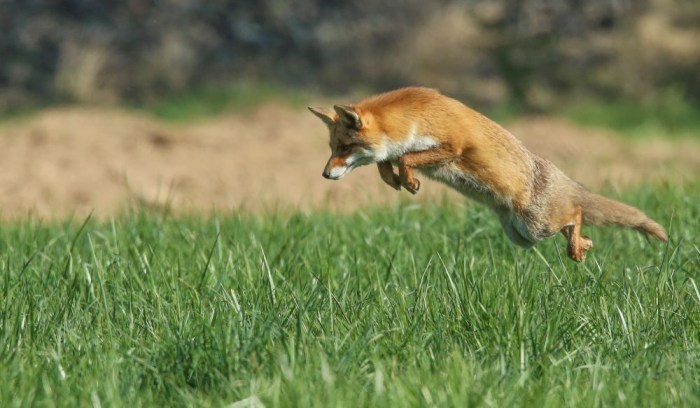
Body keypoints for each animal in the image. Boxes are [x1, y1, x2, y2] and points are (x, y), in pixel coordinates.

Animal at [308, 87, 667, 262]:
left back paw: (577, 246)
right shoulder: (399, 149)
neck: (414, 118)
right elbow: (390, 160)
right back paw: (584, 245)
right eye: (332, 147)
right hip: (522, 237)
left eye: (344, 147)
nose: (324, 175)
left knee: (576, 213)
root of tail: (564, 179)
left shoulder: (453, 145)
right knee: (576, 226)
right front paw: (395, 179)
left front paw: (407, 179)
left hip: (536, 226)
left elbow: (408, 157)